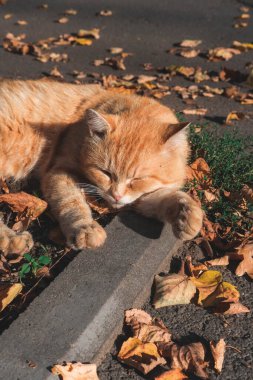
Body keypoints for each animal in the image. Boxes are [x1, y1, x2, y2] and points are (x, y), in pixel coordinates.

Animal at [0, 78, 203, 254]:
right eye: (105, 173)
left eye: (137, 179)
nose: (116, 195)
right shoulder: (58, 171)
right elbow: (71, 201)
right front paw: (85, 228)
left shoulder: (137, 199)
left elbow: (167, 198)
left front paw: (188, 215)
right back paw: (13, 240)